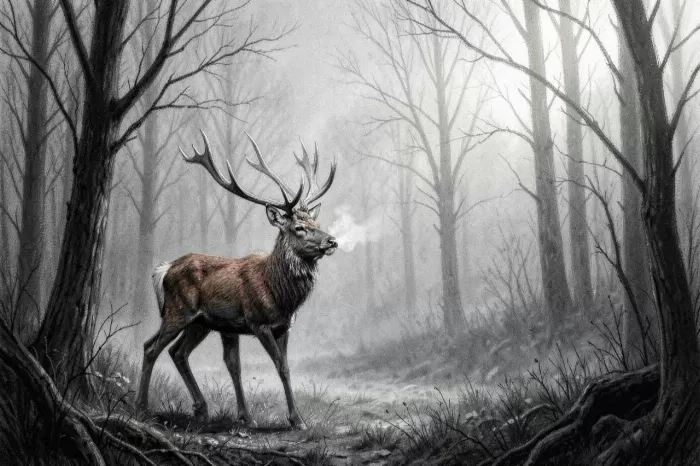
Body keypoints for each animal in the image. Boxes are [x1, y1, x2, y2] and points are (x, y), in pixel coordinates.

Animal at [135, 130, 337, 429]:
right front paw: (297, 420)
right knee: (151, 347)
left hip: (200, 323)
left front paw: (248, 417)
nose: (331, 240)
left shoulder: (278, 327)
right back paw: (141, 407)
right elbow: (279, 367)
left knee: (177, 352)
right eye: (300, 228)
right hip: (177, 311)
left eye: (316, 223)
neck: (279, 293)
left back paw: (201, 408)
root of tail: (164, 269)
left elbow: (256, 367)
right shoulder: (258, 322)